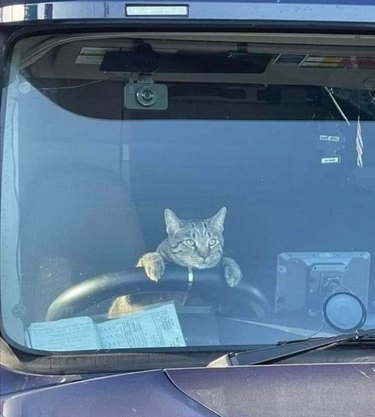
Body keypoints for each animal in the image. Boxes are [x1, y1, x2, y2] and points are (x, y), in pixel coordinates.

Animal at [109, 206, 244, 316]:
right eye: (190, 242)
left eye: (212, 241)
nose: (204, 255)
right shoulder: (129, 298)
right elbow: (149, 256)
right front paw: (155, 264)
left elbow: (224, 259)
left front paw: (233, 270)